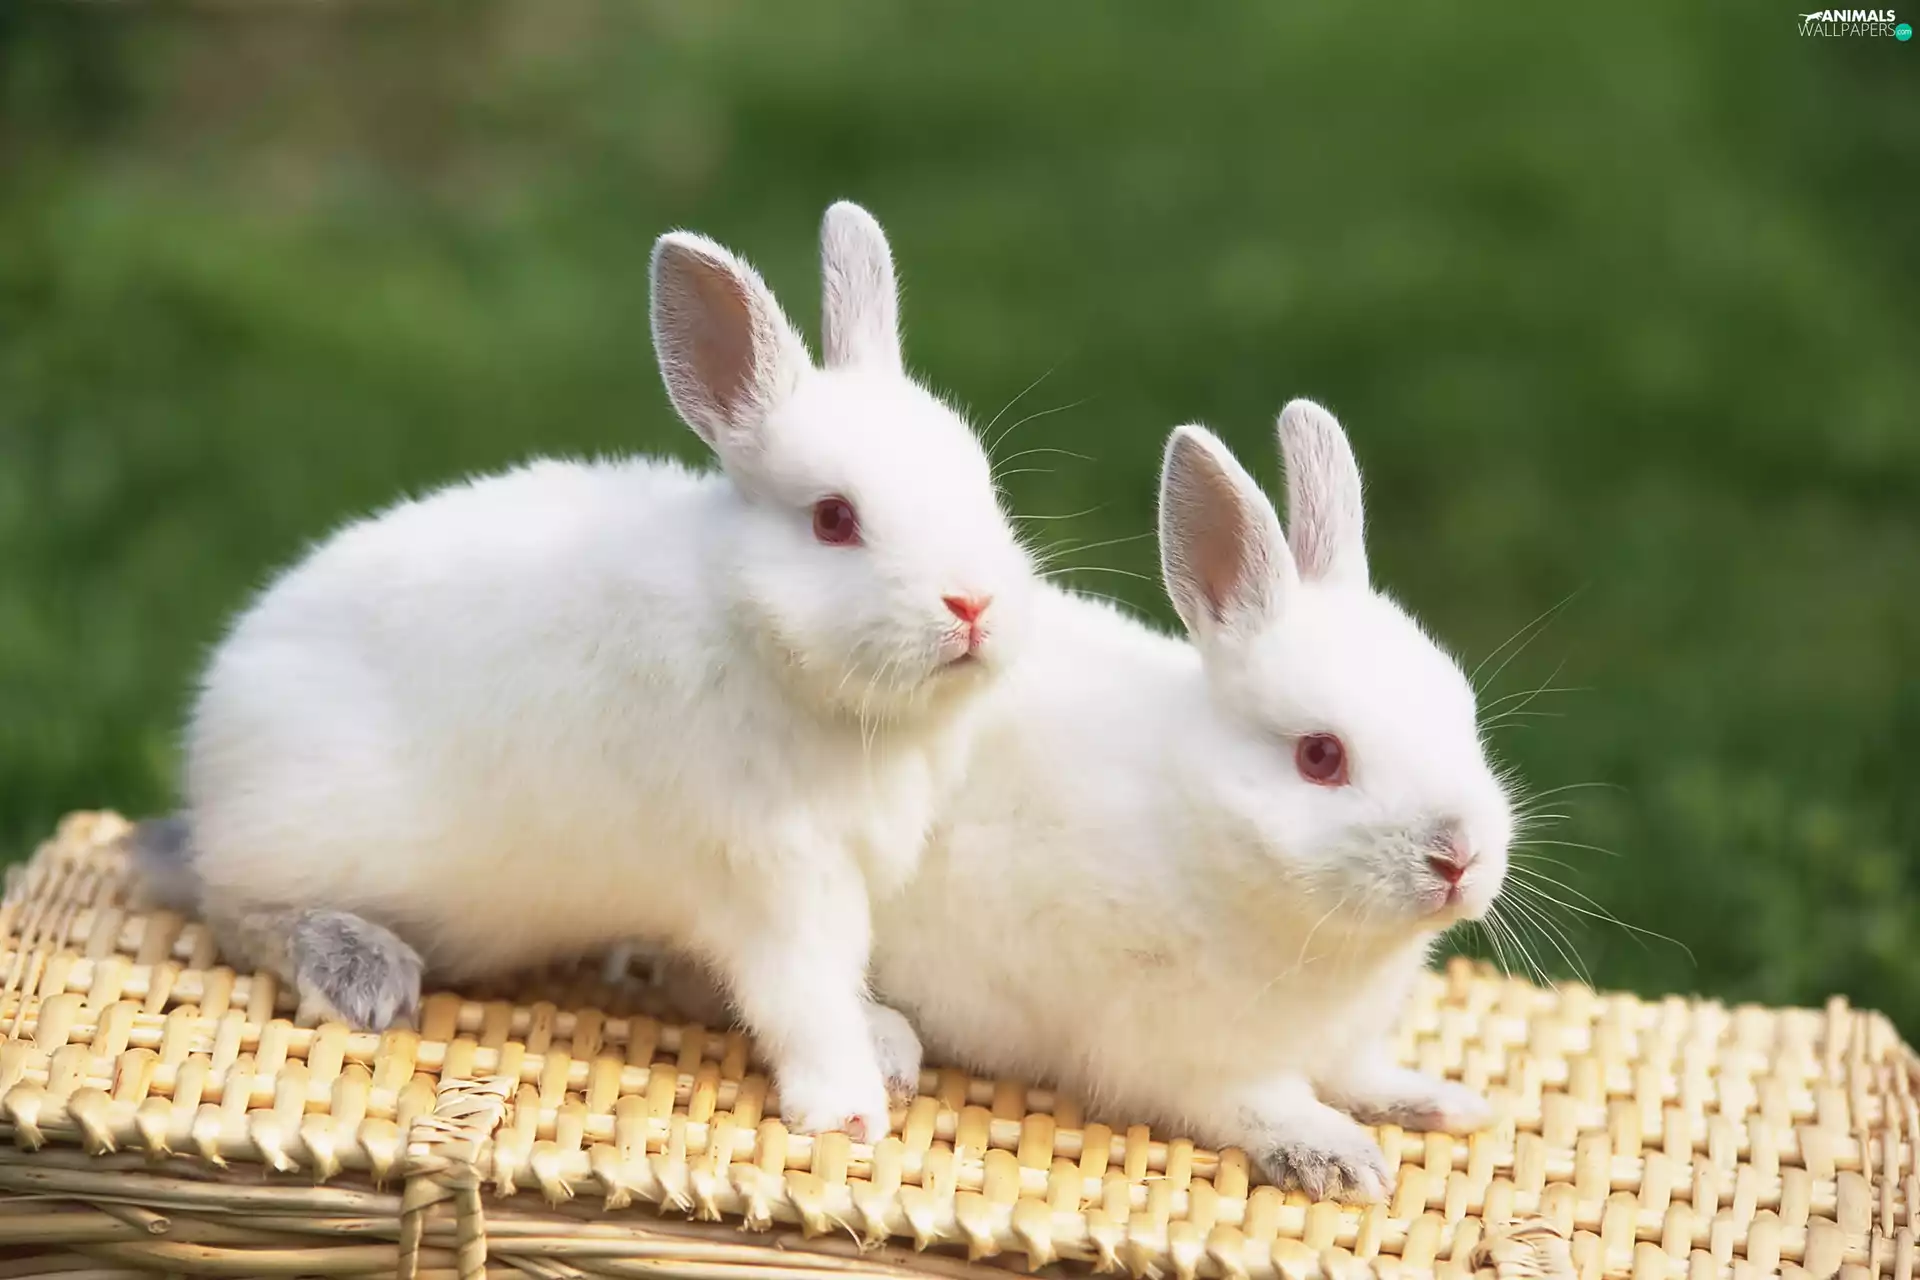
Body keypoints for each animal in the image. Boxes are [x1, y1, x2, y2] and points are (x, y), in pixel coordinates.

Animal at [141, 201, 1036, 1144]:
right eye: (834, 519)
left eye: (983, 485)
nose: (973, 605)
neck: (758, 636)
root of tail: (209, 751)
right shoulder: (776, 880)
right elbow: (805, 999)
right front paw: (849, 1110)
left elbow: (839, 980)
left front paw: (888, 1042)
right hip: (293, 842)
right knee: (234, 912)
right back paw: (362, 972)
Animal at [864, 401, 1513, 1201]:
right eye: (1319, 756)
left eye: (1464, 715)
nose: (1459, 856)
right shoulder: (1176, 1054)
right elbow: (1256, 1101)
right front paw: (1340, 1161)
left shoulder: (1344, 1044)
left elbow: (1359, 1074)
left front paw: (1440, 1102)